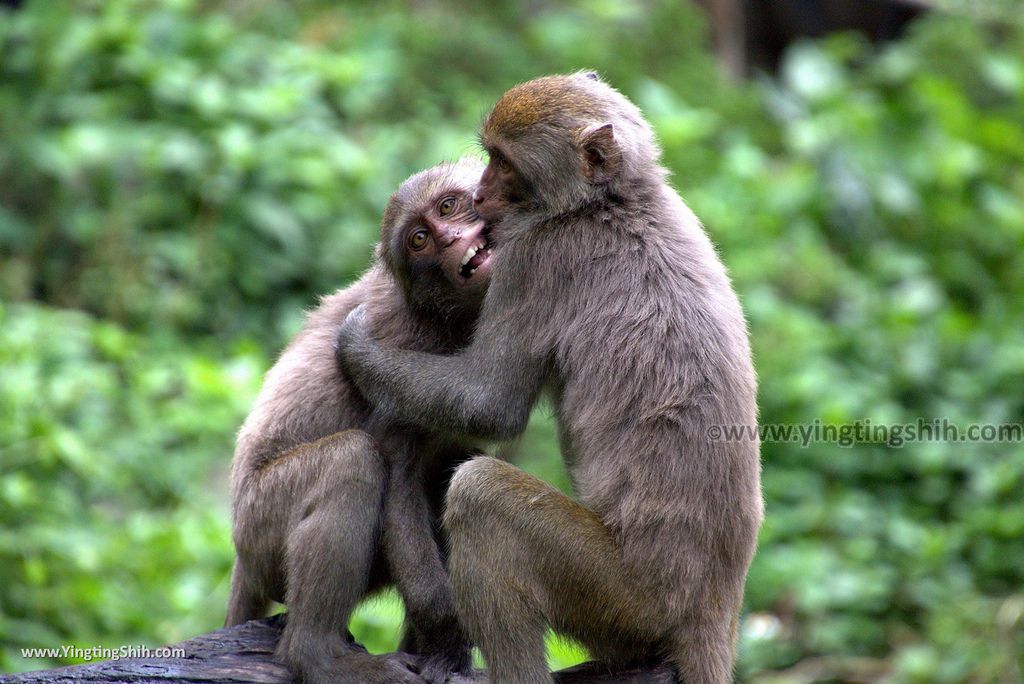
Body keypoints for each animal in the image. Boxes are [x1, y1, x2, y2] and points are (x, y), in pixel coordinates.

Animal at [230, 157, 493, 684]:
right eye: (419, 240)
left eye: (448, 206)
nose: (451, 239)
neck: (446, 318)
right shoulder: (396, 343)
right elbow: (398, 479)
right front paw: (448, 633)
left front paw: (445, 651)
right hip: (259, 530)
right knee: (352, 460)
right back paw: (319, 656)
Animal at [339, 72, 765, 679]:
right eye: (487, 157)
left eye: (504, 164)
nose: (480, 196)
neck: (613, 201)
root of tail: (713, 608)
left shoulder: (537, 254)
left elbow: (489, 401)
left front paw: (354, 344)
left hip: (624, 599)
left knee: (480, 496)